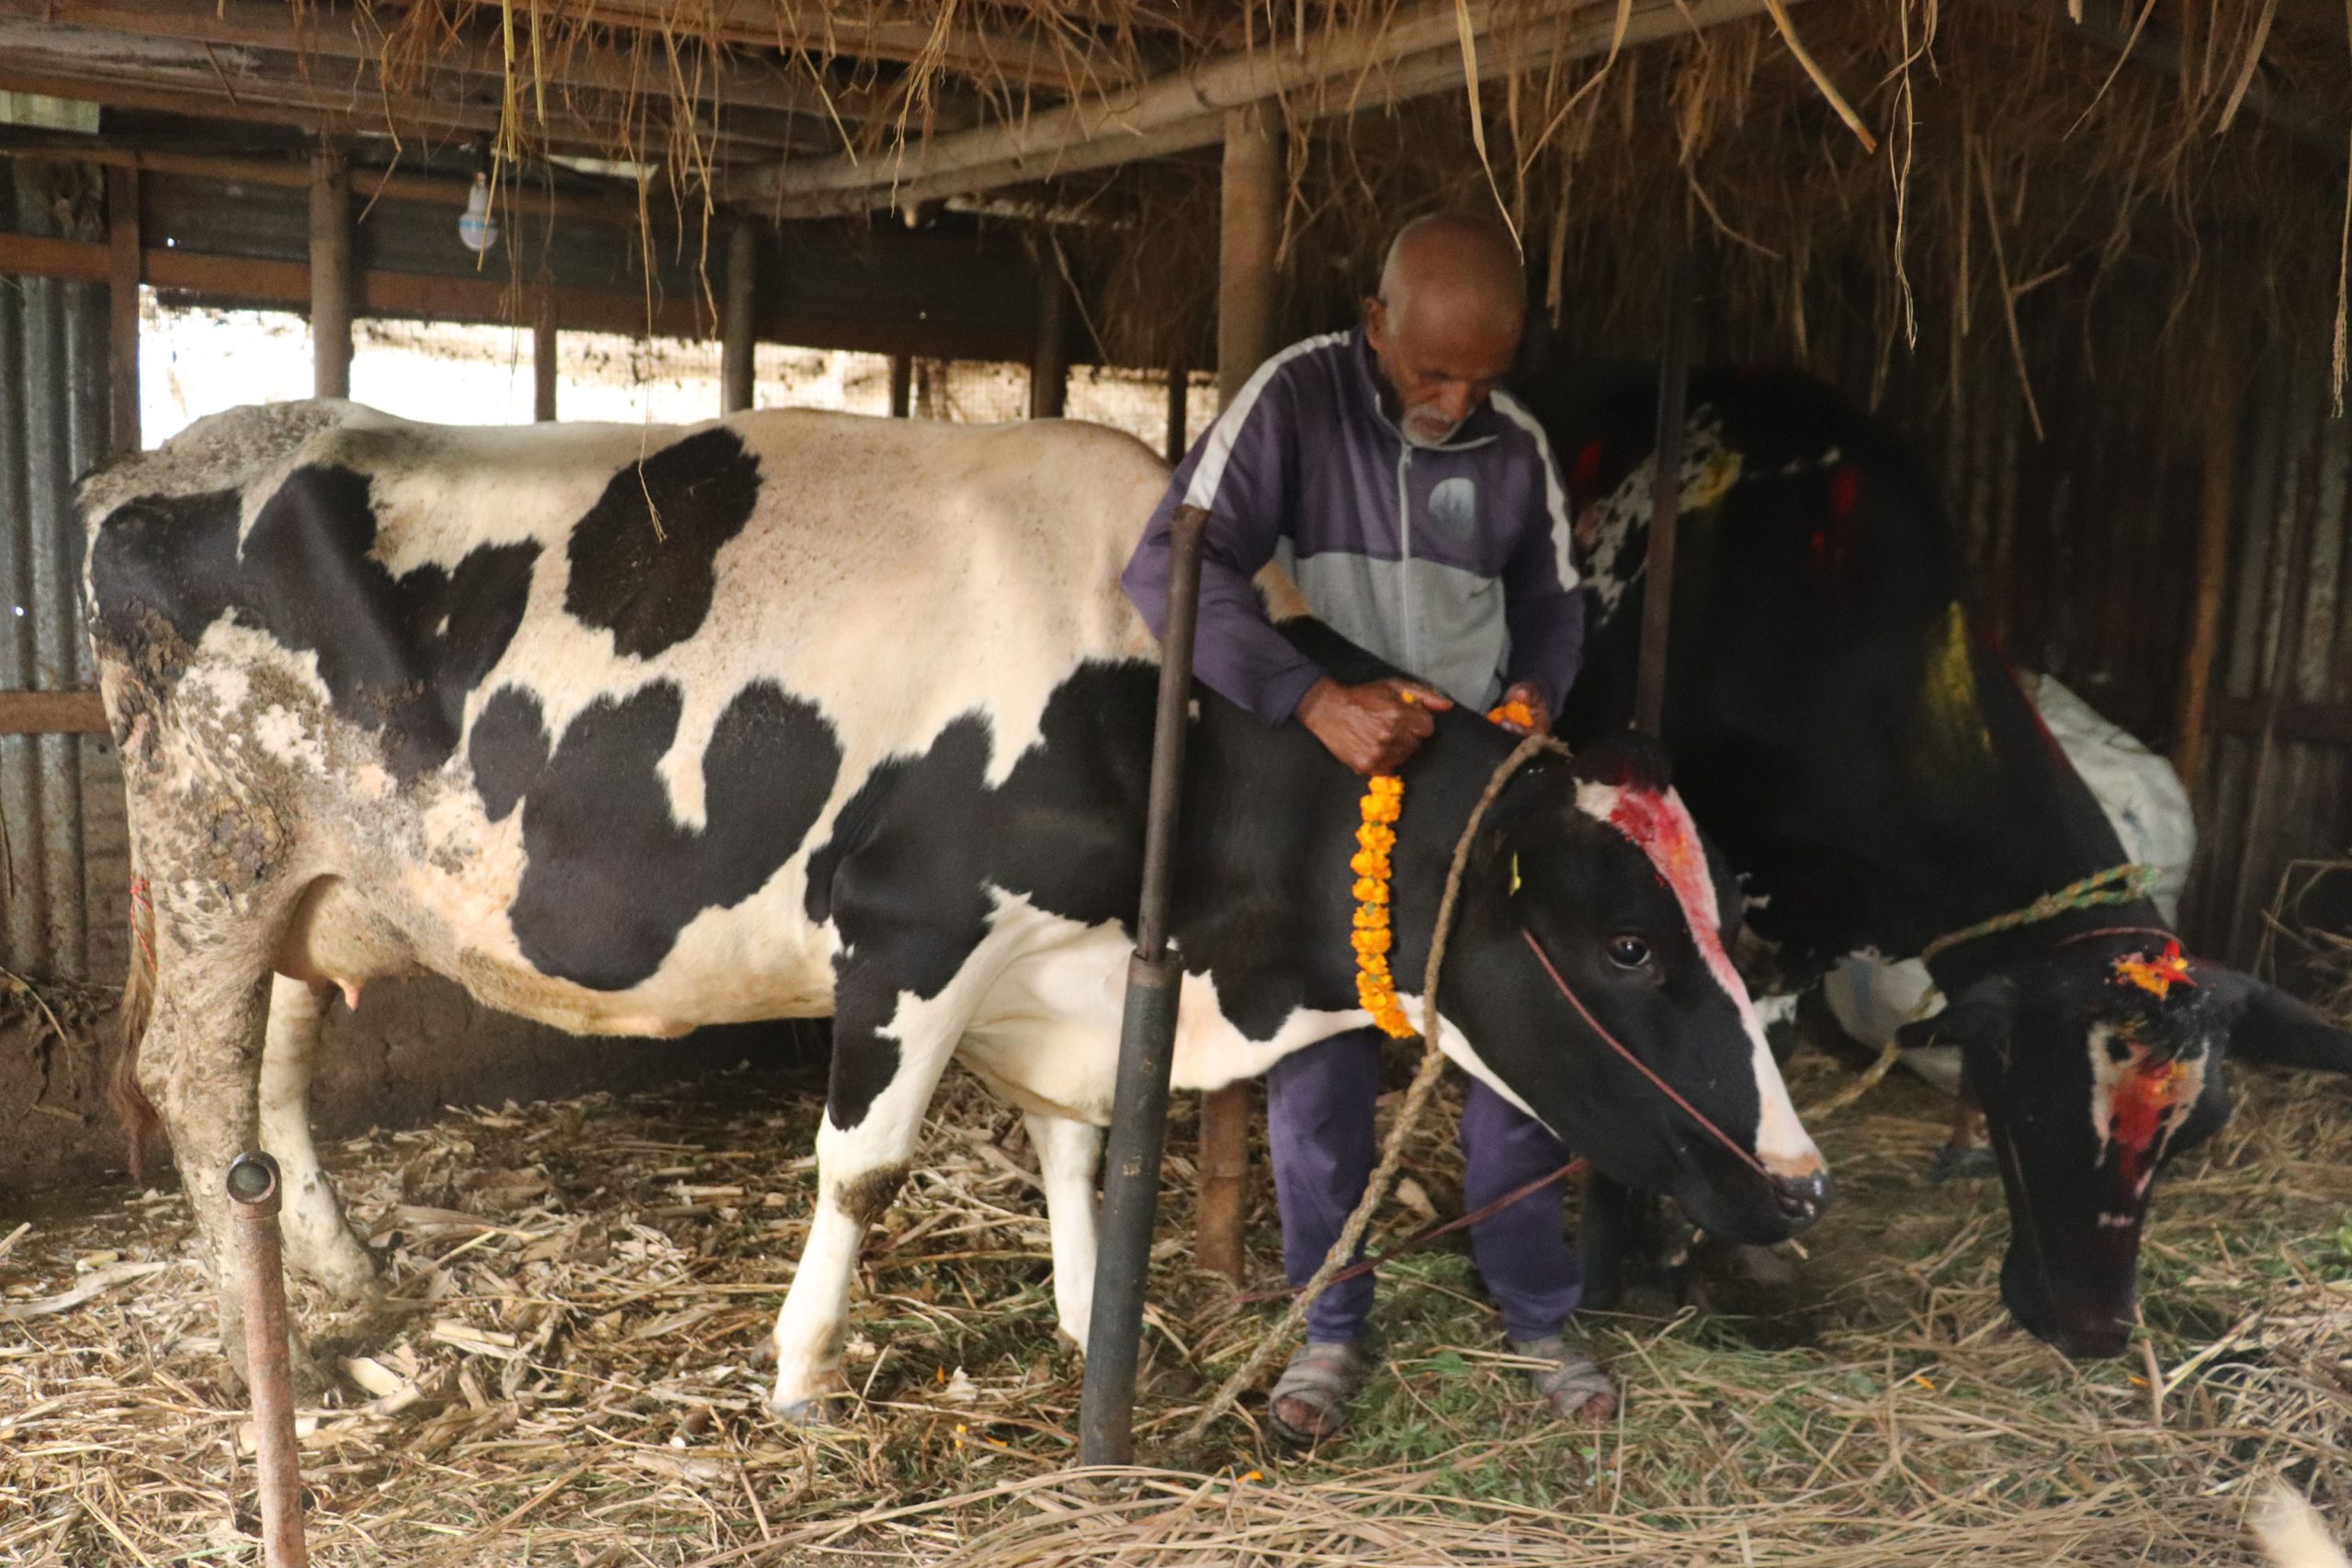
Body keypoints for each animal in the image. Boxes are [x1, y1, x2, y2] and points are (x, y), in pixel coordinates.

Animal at [83, 400, 1825, 1419]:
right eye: (1627, 942)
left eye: (1733, 923)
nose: (1803, 1185)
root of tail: (155, 459)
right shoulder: (910, 925)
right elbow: (863, 1166)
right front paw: (798, 1373)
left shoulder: (1065, 965)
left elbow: (1077, 1146)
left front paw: (1086, 1317)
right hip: (214, 845)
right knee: (191, 1080)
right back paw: (283, 1357)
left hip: (307, 879)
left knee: (274, 1080)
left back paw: (349, 1281)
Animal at [1523, 368, 2352, 1363]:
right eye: (2031, 1104)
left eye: (2196, 1129)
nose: (2093, 1329)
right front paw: (1622, 1268)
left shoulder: (1809, 923)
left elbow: (1760, 1055)